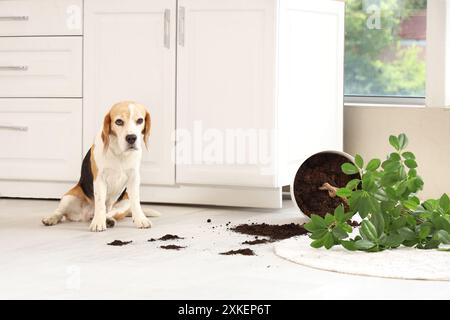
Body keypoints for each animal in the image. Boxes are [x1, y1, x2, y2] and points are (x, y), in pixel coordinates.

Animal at [42, 101, 161, 231]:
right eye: (119, 121)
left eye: (140, 120)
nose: (131, 138)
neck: (119, 153)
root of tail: (87, 215)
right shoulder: (100, 179)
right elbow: (99, 202)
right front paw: (98, 222)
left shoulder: (134, 178)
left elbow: (136, 201)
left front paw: (140, 219)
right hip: (69, 197)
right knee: (60, 212)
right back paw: (51, 219)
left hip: (125, 203)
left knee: (109, 212)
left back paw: (108, 220)